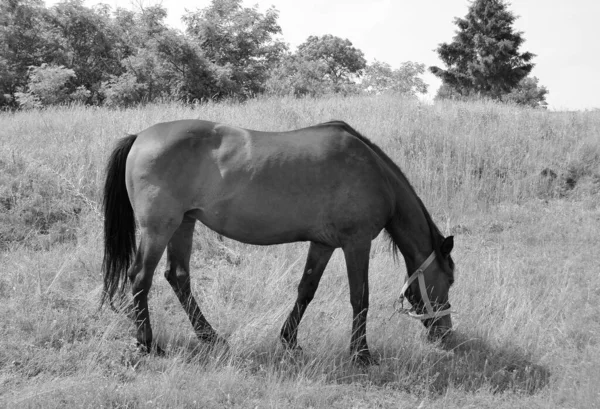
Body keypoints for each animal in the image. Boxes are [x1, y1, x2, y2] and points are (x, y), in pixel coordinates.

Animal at [101, 118, 454, 364]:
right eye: (449, 280)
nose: (446, 334)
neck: (373, 173)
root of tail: (140, 137)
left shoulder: (324, 244)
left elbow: (306, 290)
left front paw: (290, 340)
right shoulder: (357, 244)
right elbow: (360, 298)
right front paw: (361, 354)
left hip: (183, 224)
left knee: (178, 277)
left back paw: (210, 337)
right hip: (159, 228)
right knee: (140, 278)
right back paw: (148, 343)